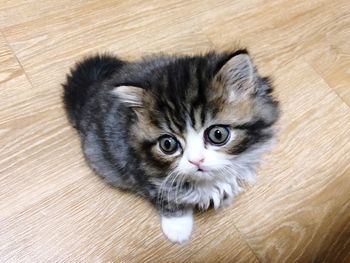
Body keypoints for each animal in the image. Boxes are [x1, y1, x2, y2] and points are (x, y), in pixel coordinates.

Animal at [63, 50, 280, 245]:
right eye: (168, 145)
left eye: (218, 134)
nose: (196, 161)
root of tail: (91, 92)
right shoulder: (140, 171)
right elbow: (168, 199)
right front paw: (178, 227)